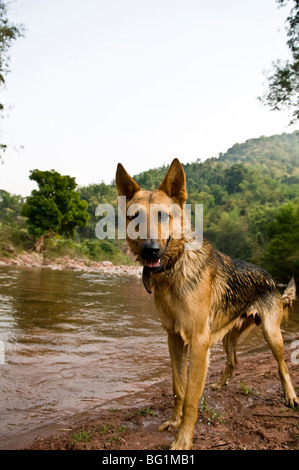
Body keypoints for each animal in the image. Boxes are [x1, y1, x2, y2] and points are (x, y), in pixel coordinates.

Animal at [116, 160, 298, 450]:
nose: (150, 250)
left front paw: (183, 439)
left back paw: (290, 396)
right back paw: (221, 385)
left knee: (282, 366)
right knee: (234, 360)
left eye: (163, 216)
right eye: (135, 217)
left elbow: (191, 397)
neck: (175, 268)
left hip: (272, 335)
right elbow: (178, 388)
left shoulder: (199, 341)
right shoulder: (174, 338)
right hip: (227, 337)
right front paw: (174, 422)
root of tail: (270, 278)